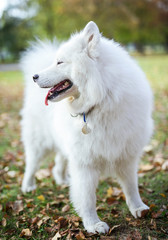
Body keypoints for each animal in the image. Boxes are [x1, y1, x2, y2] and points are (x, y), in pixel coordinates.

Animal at [21, 21, 154, 233]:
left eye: (60, 62)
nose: (35, 76)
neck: (102, 99)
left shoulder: (126, 155)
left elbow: (131, 186)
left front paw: (138, 208)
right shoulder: (85, 162)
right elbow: (87, 197)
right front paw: (93, 224)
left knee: (58, 163)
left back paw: (61, 180)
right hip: (39, 144)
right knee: (31, 165)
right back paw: (27, 186)